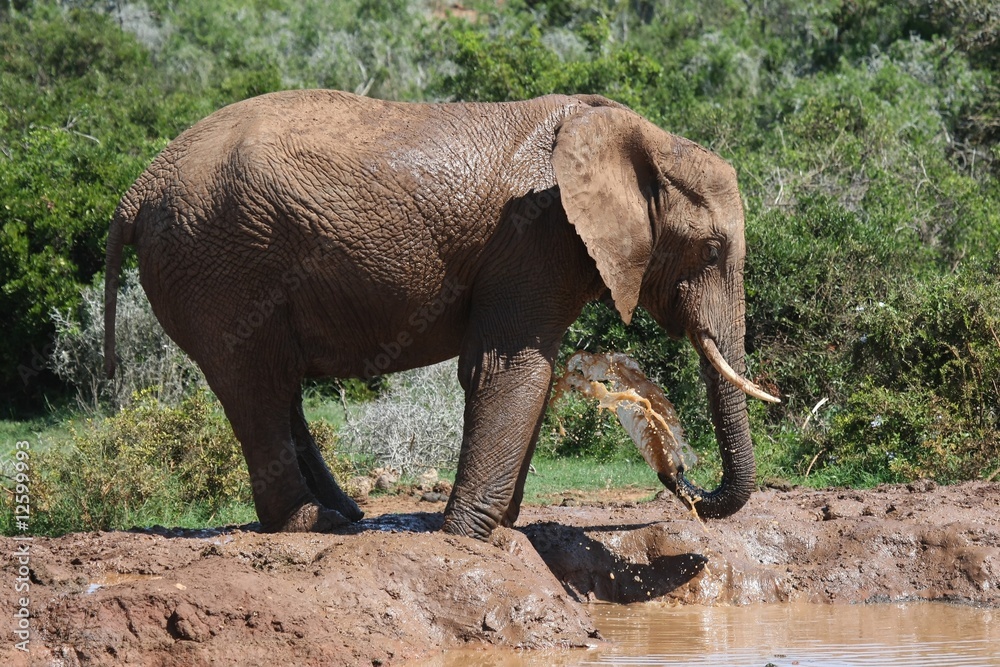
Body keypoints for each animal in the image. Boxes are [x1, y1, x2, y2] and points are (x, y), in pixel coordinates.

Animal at [103, 89, 779, 540]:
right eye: (712, 250)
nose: (676, 474)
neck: (638, 134)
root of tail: (136, 190)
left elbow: (532, 373)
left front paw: (501, 526)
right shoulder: (533, 237)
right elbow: (510, 368)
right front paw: (464, 537)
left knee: (276, 383)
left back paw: (347, 515)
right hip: (220, 260)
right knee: (257, 385)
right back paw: (311, 523)